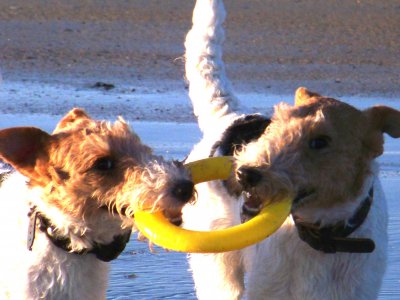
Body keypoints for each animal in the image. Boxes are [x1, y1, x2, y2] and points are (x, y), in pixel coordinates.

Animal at [184, 1, 396, 298]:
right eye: (276, 125)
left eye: (320, 141)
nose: (245, 174)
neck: (323, 237)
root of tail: (230, 116)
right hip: (217, 265)